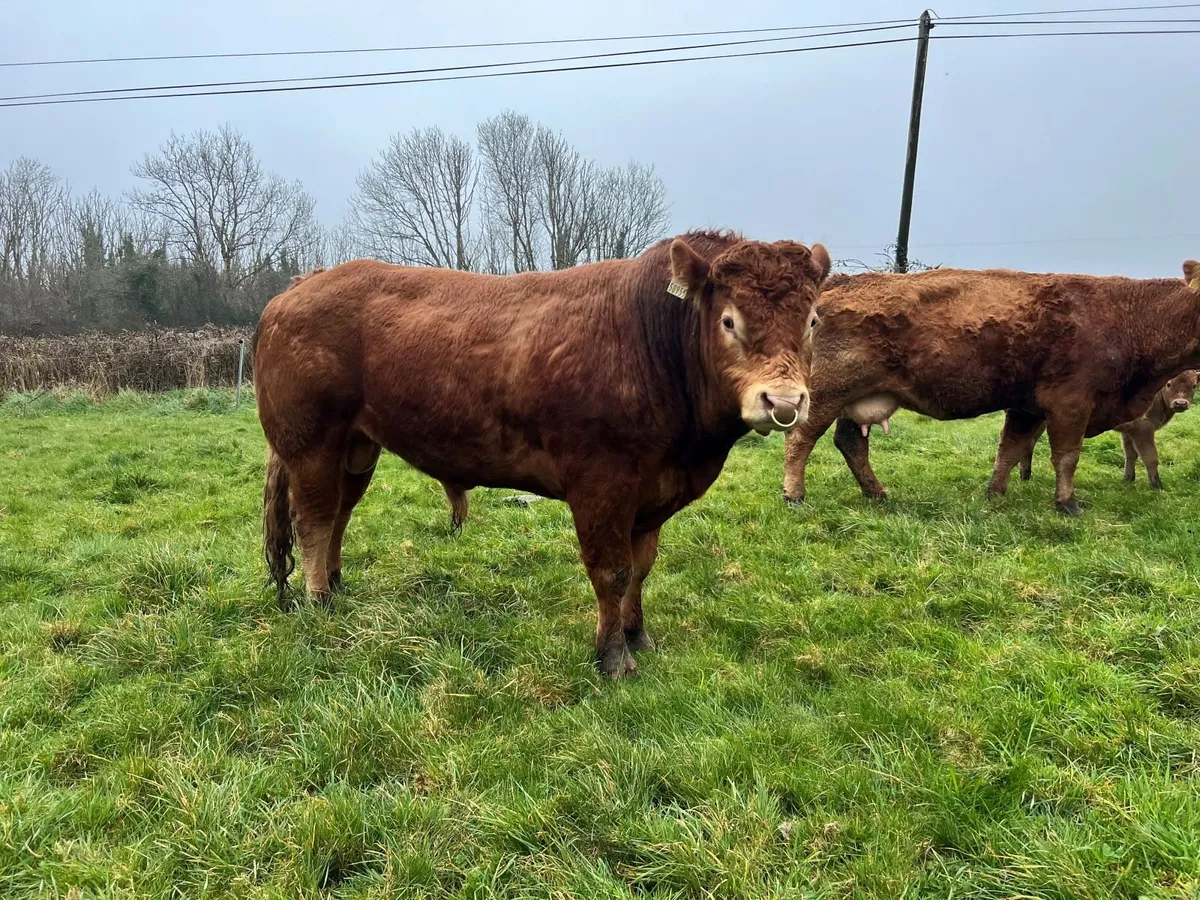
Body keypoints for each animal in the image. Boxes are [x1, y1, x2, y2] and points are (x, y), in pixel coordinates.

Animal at [254, 230, 831, 678]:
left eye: (812, 322)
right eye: (729, 321)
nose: (783, 402)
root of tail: (302, 285)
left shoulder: (651, 495)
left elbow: (641, 569)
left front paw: (638, 636)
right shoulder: (601, 485)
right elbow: (612, 571)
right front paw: (613, 657)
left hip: (358, 446)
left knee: (340, 514)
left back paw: (336, 586)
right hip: (311, 442)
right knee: (314, 518)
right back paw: (319, 600)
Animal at [1016, 369, 1199, 489]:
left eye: (1194, 385)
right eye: (1169, 383)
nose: (1181, 403)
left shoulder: (1129, 431)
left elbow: (1131, 454)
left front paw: (1128, 479)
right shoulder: (1143, 429)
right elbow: (1150, 457)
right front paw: (1157, 485)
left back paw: (1025, 476)